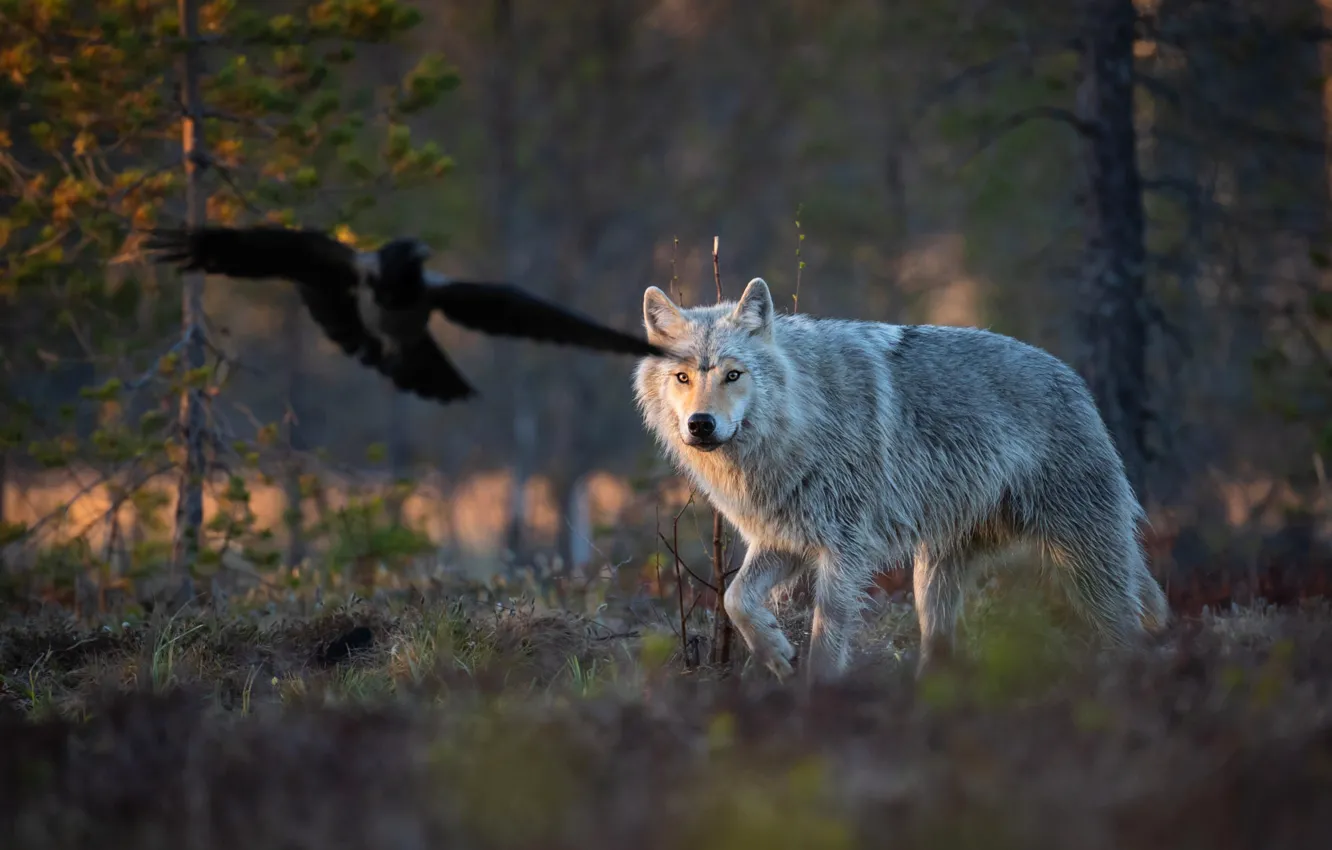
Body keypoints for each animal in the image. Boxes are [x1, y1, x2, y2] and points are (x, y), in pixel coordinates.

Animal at [634, 277, 1170, 683]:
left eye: (733, 375)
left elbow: (826, 638)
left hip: (1084, 566)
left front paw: (817, 699)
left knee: (1127, 629)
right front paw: (775, 653)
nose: (701, 425)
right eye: (683, 378)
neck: (800, 422)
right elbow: (735, 599)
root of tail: (1073, 380)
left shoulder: (845, 549)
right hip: (930, 578)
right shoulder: (783, 541)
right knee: (941, 650)